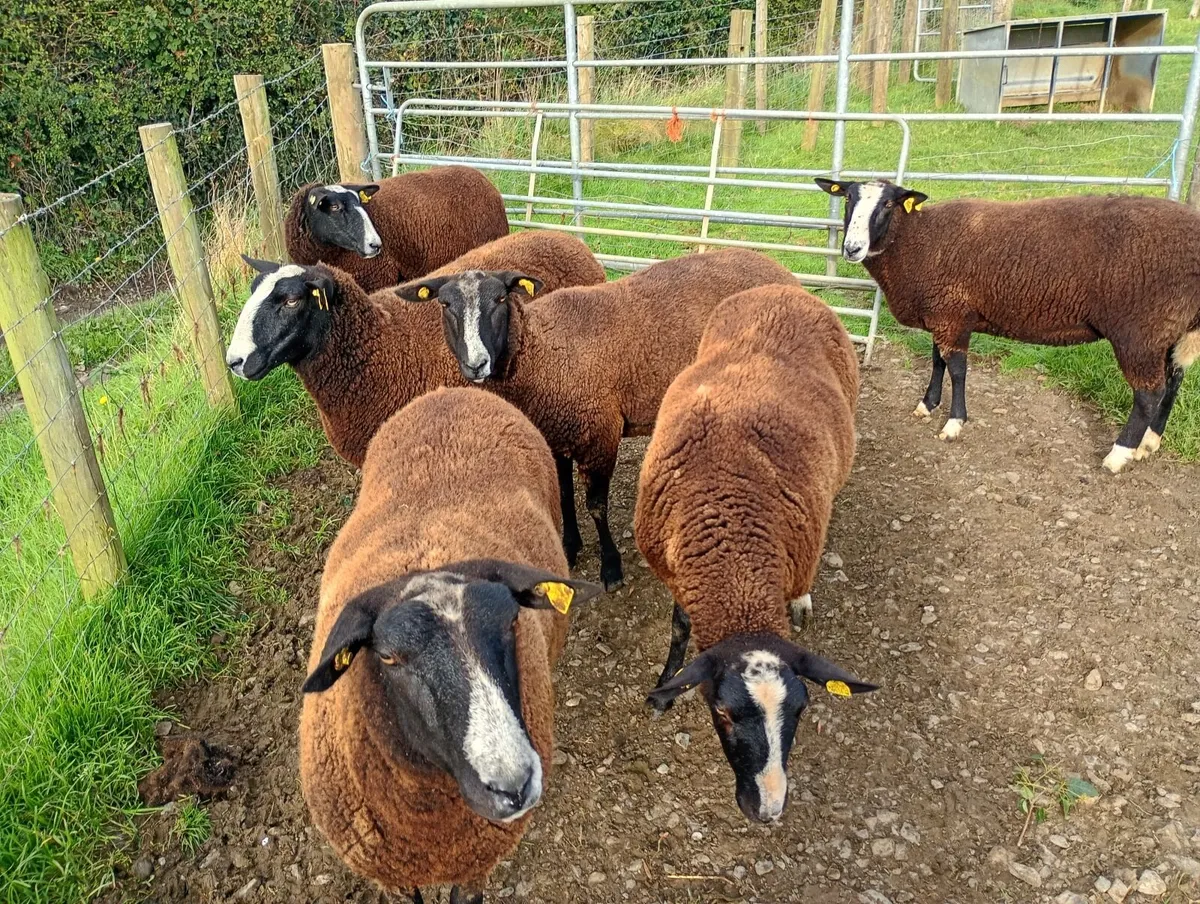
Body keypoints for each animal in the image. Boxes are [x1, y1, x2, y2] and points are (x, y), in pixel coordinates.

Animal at [299, 387, 602, 904]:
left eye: (511, 623)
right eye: (388, 657)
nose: (513, 786)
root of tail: (452, 390)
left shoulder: (477, 863)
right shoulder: (394, 876)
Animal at [398, 248, 797, 591]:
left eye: (499, 300)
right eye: (445, 304)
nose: (476, 364)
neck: (542, 352)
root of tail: (779, 270)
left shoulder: (599, 435)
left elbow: (596, 506)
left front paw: (611, 567)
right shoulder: (555, 433)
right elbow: (564, 494)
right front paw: (570, 546)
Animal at [635, 284, 878, 823]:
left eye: (803, 710)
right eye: (723, 713)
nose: (767, 810)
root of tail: (783, 287)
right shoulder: (677, 571)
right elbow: (680, 629)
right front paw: (666, 689)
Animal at [816, 178, 1200, 473]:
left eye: (887, 204)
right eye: (847, 198)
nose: (851, 248)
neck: (918, 240)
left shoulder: (952, 313)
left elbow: (957, 369)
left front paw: (954, 423)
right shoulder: (944, 313)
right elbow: (938, 361)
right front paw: (928, 404)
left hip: (1140, 330)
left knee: (1149, 394)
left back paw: (1119, 454)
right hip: (1168, 328)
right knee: (1173, 382)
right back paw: (1149, 443)